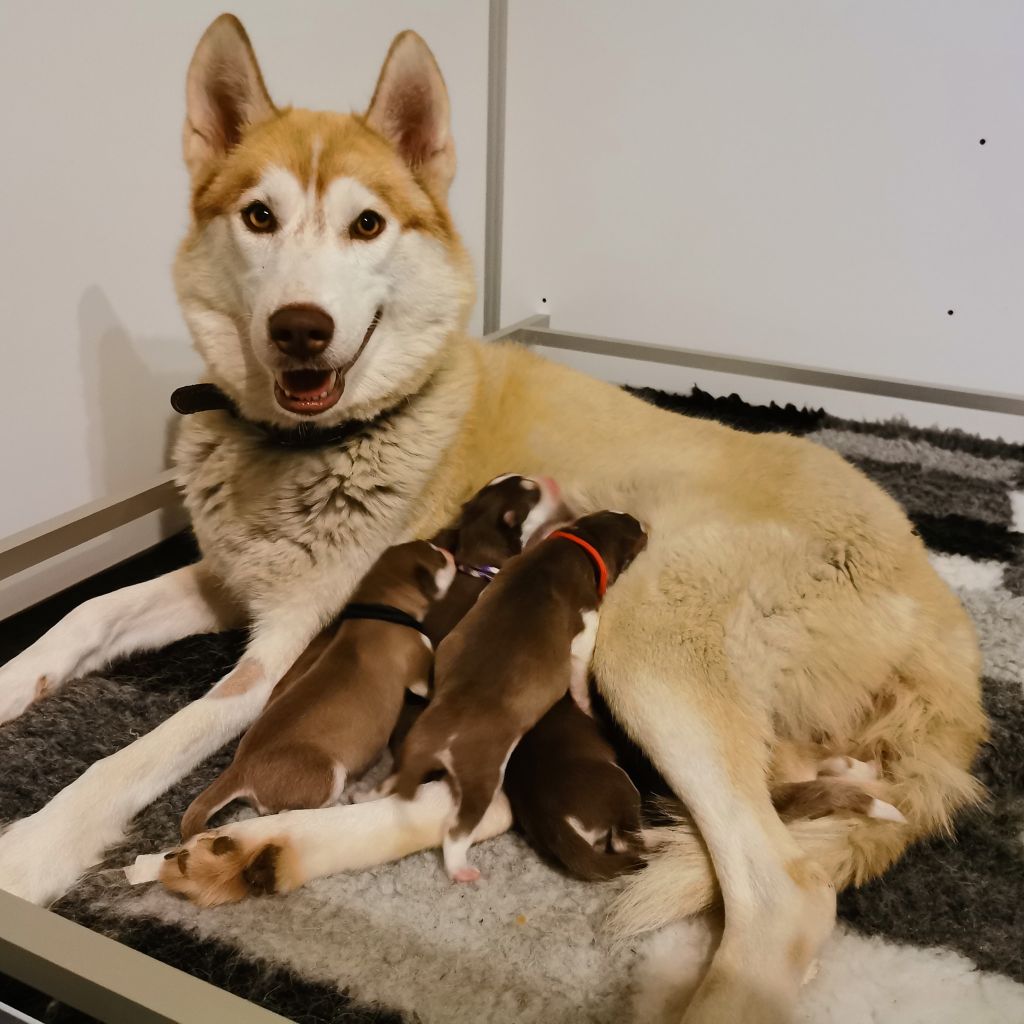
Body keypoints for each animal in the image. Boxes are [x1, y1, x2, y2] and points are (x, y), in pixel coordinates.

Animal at [182, 540, 454, 835]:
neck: (379, 607)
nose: (450, 553)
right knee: (294, 810)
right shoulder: (419, 675)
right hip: (330, 773)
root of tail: (240, 768)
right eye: (438, 557)